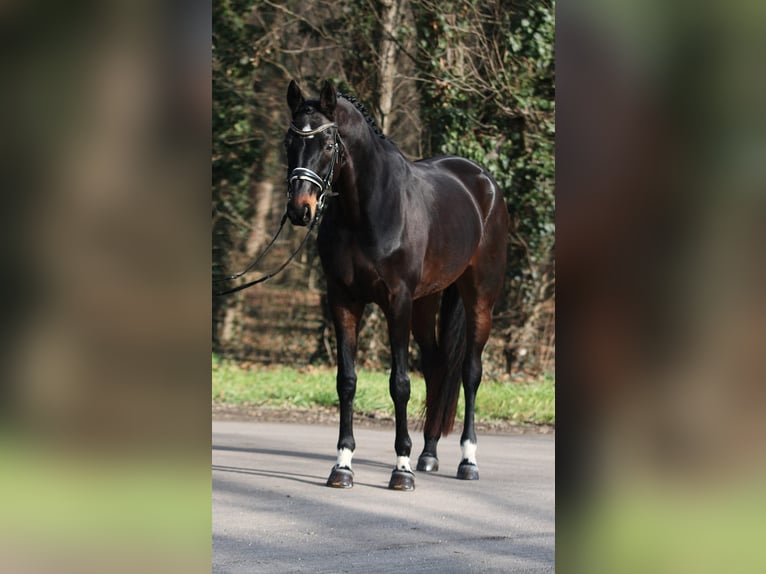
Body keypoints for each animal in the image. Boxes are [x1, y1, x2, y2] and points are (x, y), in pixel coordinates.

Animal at [282, 81, 510, 492]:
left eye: (327, 144)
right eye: (290, 141)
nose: (299, 209)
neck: (366, 210)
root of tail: (483, 183)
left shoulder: (397, 302)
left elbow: (400, 383)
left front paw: (400, 469)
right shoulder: (343, 301)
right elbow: (347, 381)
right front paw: (342, 466)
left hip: (479, 299)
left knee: (470, 372)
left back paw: (467, 460)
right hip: (427, 303)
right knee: (437, 367)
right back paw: (429, 454)